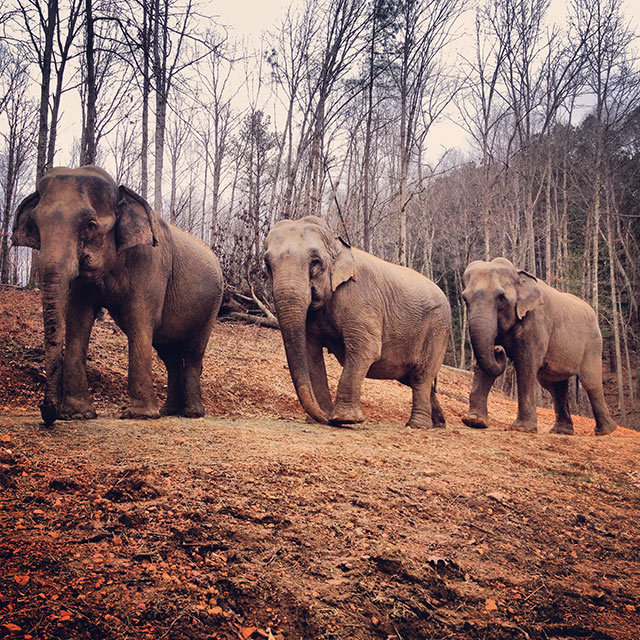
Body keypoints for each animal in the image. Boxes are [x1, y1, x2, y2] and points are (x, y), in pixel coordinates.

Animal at [11, 166, 225, 424]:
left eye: (90, 224)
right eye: (36, 225)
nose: (45, 412)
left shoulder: (150, 263)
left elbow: (139, 320)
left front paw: (139, 415)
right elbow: (78, 320)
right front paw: (77, 415)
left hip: (212, 305)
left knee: (193, 353)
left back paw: (192, 413)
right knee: (169, 355)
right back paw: (169, 411)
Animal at [262, 216, 452, 430]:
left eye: (315, 262)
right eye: (267, 264)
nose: (325, 418)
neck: (337, 245)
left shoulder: (362, 300)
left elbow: (366, 348)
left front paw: (343, 419)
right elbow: (311, 353)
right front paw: (321, 418)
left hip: (438, 328)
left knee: (421, 375)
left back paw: (417, 425)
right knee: (412, 378)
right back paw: (438, 424)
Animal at [462, 258, 616, 438]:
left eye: (501, 298)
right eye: (465, 299)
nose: (498, 350)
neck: (518, 274)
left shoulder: (536, 322)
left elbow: (526, 364)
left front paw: (521, 429)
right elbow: (485, 365)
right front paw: (474, 421)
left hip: (593, 345)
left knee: (591, 382)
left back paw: (606, 431)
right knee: (555, 387)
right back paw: (561, 432)